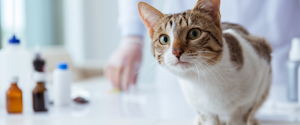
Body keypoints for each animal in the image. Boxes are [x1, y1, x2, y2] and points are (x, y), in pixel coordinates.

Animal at [138, 0, 272, 125]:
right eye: (164, 39)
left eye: (194, 33)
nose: (176, 52)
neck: (204, 78)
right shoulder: (203, 109)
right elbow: (209, 117)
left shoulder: (261, 63)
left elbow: (244, 111)